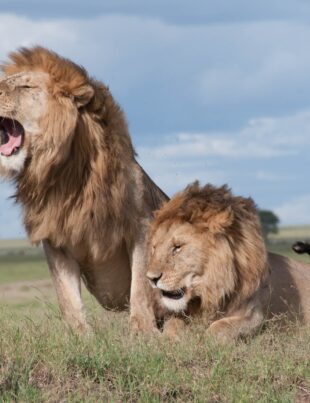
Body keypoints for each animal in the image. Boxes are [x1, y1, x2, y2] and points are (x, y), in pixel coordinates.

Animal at [0, 45, 168, 332]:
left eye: (25, 86)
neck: (66, 176)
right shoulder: (56, 239)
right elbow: (67, 297)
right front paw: (80, 335)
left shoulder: (141, 226)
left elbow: (140, 287)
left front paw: (143, 331)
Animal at [146, 183, 310, 340]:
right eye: (154, 248)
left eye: (177, 247)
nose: (151, 278)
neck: (211, 289)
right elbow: (172, 324)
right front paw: (172, 339)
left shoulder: (255, 316)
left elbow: (220, 327)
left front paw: (206, 341)